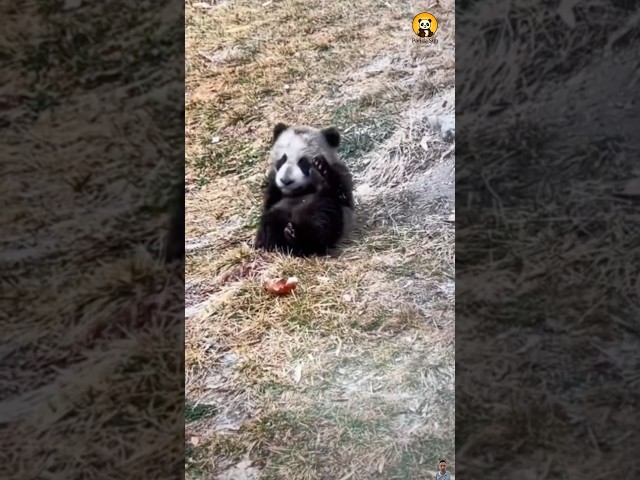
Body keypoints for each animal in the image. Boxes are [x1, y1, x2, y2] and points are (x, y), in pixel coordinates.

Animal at [254, 123, 355, 257]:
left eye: (303, 162)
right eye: (283, 159)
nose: (286, 180)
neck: (299, 190)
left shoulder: (339, 172)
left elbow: (343, 196)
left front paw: (322, 167)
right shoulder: (274, 188)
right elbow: (268, 204)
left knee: (321, 219)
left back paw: (298, 239)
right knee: (271, 222)